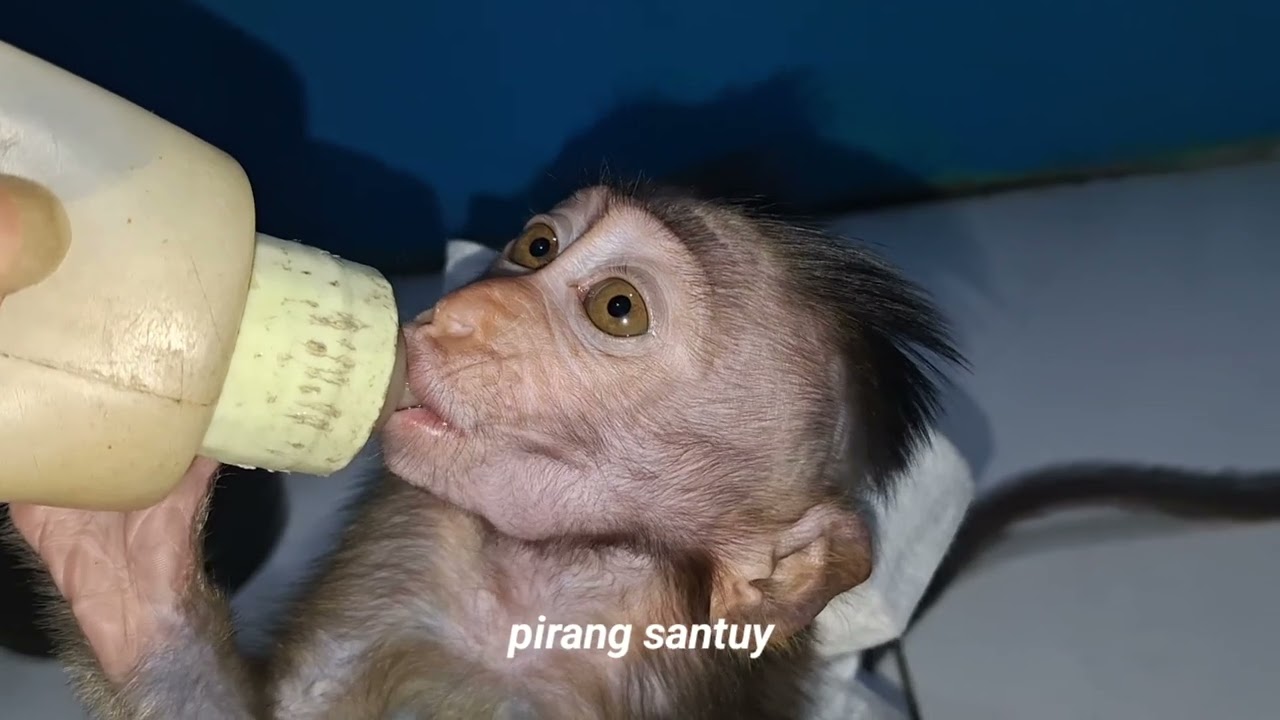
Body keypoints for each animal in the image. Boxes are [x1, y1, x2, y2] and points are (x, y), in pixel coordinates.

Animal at [4, 181, 963, 719]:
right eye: (536, 246)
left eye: (618, 307)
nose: (459, 312)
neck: (537, 589)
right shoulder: (406, 553)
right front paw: (123, 565)